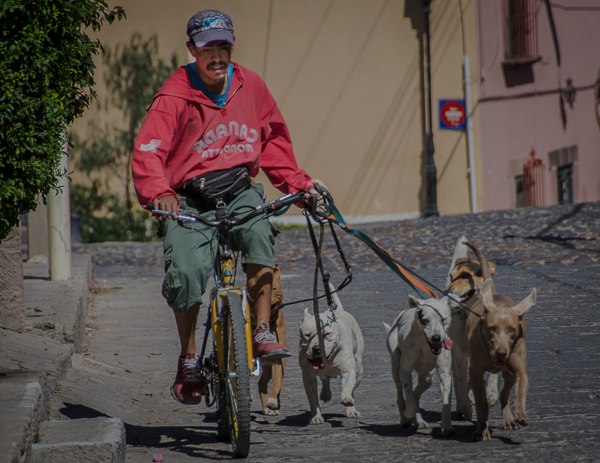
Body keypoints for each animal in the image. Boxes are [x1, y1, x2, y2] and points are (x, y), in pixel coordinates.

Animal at [384, 296, 454, 436]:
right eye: (425, 320)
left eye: (443, 319)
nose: (436, 337)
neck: (425, 346)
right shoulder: (405, 370)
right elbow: (409, 399)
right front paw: (408, 413)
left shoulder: (445, 373)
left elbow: (446, 401)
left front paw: (446, 425)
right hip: (396, 367)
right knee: (401, 394)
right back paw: (405, 418)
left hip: (427, 377)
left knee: (416, 394)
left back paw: (417, 420)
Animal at [442, 236, 500, 420]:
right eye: (451, 276)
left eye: (466, 275)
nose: (445, 293)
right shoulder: (459, 354)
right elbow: (461, 383)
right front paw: (466, 407)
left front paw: (491, 393)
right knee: (458, 382)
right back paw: (462, 405)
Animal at [462, 243, 536, 442]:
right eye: (491, 328)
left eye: (512, 329)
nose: (502, 352)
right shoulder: (475, 372)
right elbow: (480, 403)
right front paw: (482, 429)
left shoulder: (519, 369)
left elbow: (521, 388)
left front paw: (520, 413)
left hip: (508, 372)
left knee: (504, 393)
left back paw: (509, 419)